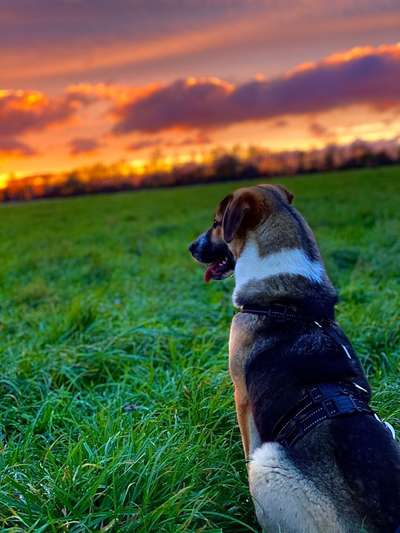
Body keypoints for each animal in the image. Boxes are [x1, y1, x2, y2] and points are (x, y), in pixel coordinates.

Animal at [188, 184, 400, 532]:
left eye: (217, 223)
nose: (191, 248)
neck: (287, 302)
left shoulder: (242, 395)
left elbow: (247, 442)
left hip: (270, 462)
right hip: (390, 429)